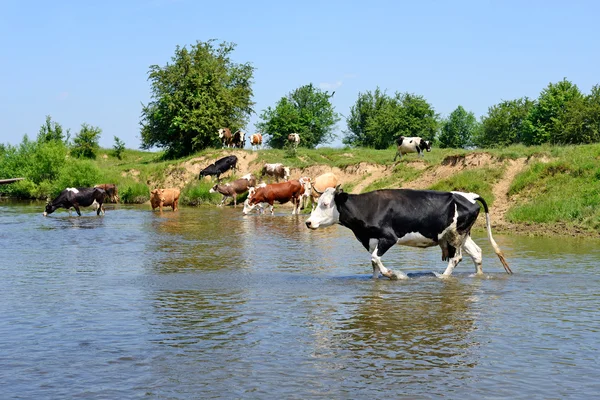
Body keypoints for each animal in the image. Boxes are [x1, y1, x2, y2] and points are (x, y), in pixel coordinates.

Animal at [304, 188, 510, 282]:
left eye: (325, 204)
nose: (308, 222)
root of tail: (469, 195)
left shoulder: (388, 238)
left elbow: (375, 259)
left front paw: (393, 274)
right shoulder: (371, 240)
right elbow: (373, 263)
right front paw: (376, 280)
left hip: (455, 235)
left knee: (456, 258)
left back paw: (442, 277)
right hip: (462, 235)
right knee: (476, 253)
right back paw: (478, 276)